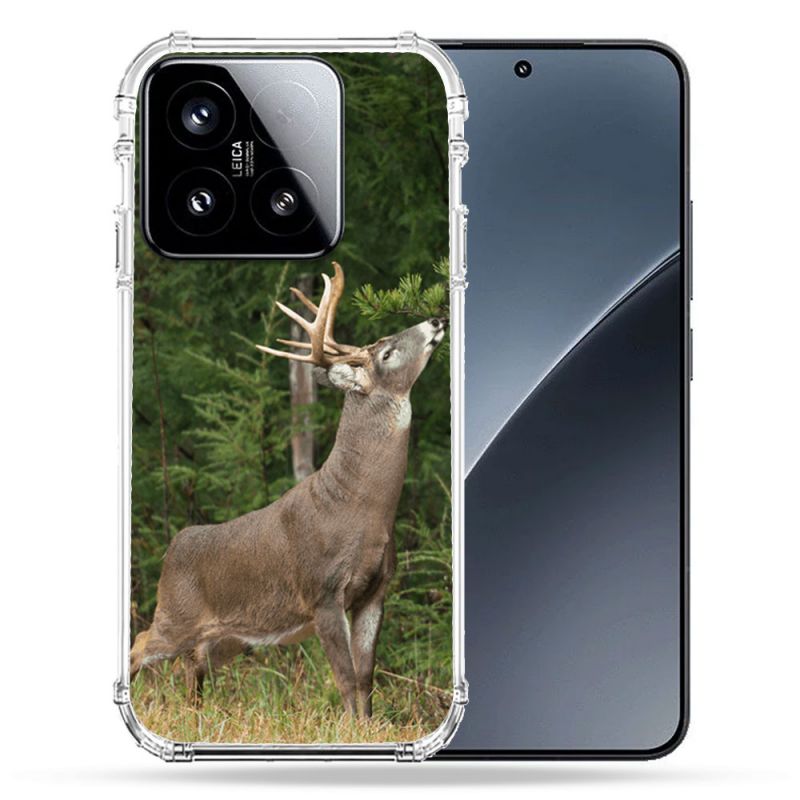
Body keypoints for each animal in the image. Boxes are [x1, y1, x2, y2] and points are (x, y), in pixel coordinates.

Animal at [129, 262, 447, 718]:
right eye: (386, 353)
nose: (437, 320)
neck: (361, 509)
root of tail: (173, 548)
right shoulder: (323, 592)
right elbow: (345, 678)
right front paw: (351, 728)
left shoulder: (376, 591)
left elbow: (366, 678)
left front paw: (369, 726)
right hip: (176, 613)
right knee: (141, 644)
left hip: (228, 636)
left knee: (191, 664)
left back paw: (197, 713)